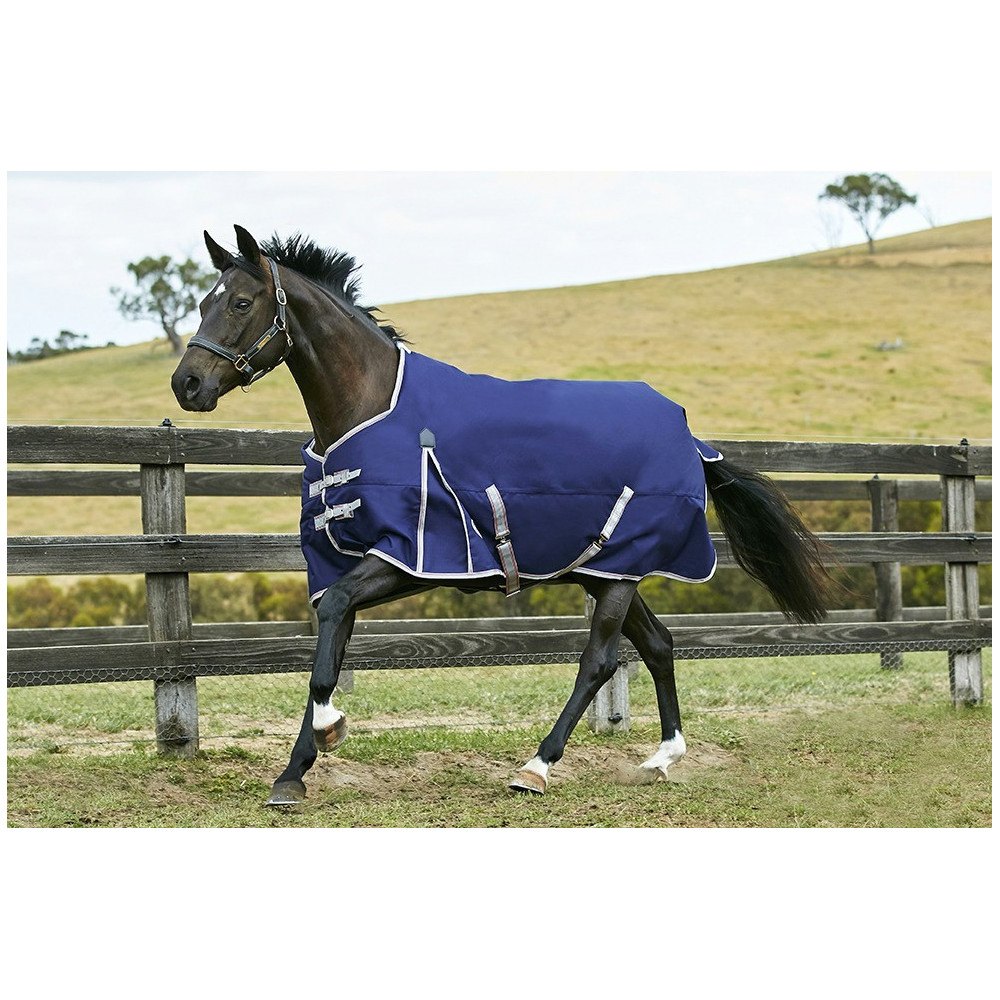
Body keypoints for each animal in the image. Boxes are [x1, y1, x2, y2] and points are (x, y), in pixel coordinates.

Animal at [171, 225, 830, 806]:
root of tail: (690, 436)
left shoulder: (408, 558)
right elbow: (328, 651)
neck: (373, 408)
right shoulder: (348, 561)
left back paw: (536, 767)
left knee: (599, 661)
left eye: (240, 302)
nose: (187, 384)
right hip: (607, 571)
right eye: (202, 302)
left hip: (619, 574)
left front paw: (329, 732)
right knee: (660, 645)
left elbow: (329, 635)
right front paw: (294, 775)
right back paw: (662, 757)